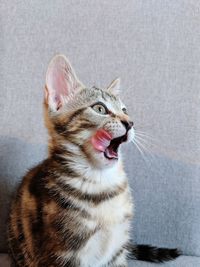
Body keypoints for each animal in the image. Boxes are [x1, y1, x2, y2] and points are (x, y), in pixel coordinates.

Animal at [7, 55, 180, 267]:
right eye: (100, 108)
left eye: (125, 110)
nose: (130, 122)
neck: (101, 181)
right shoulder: (65, 254)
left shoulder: (118, 250)